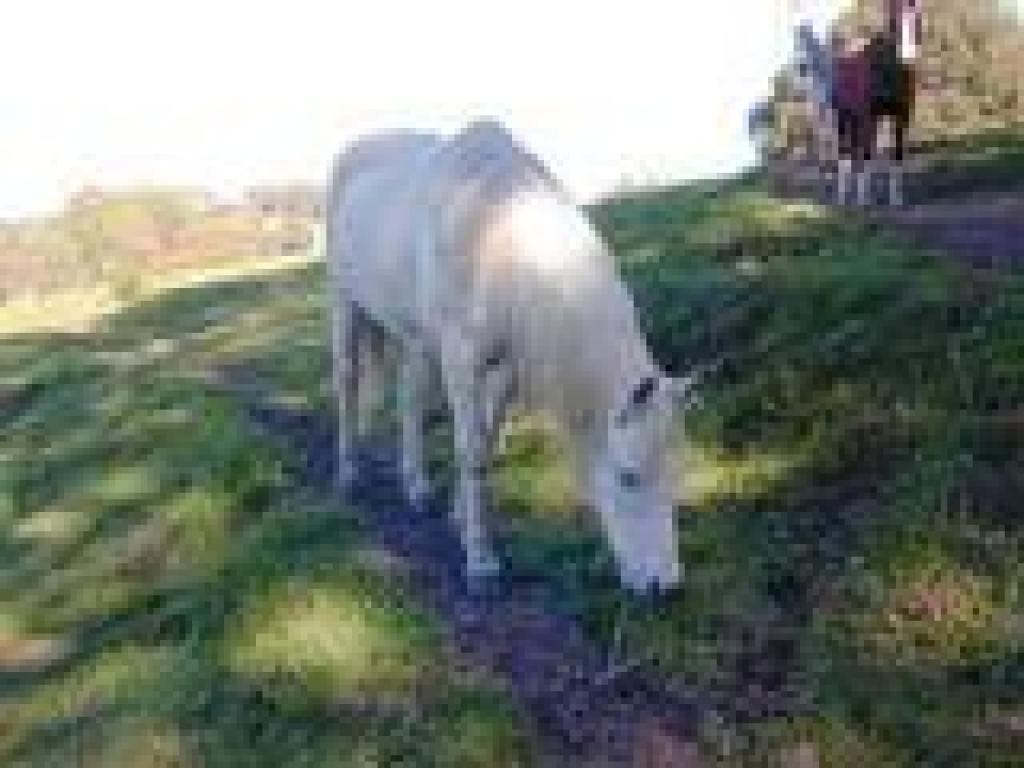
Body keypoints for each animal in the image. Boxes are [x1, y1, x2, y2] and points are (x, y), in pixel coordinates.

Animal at [324, 119, 694, 595]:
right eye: (627, 476)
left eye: (678, 471)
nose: (665, 587)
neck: (497, 232)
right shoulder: (461, 362)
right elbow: (472, 452)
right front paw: (480, 563)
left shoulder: (505, 369)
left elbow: (486, 440)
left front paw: (459, 518)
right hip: (344, 302)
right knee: (348, 380)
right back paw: (347, 474)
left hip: (413, 335)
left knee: (409, 399)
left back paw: (416, 487)